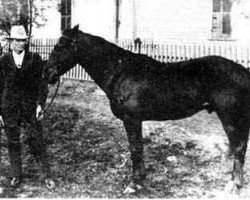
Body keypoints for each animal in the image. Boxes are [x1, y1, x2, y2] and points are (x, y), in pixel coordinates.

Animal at [43, 25, 250, 194]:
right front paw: (141, 179)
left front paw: (134, 184)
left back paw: (234, 184)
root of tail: (243, 71)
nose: (47, 73)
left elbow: (135, 147)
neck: (120, 71)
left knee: (239, 146)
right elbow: (138, 147)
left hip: (230, 118)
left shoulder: (132, 118)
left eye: (61, 46)